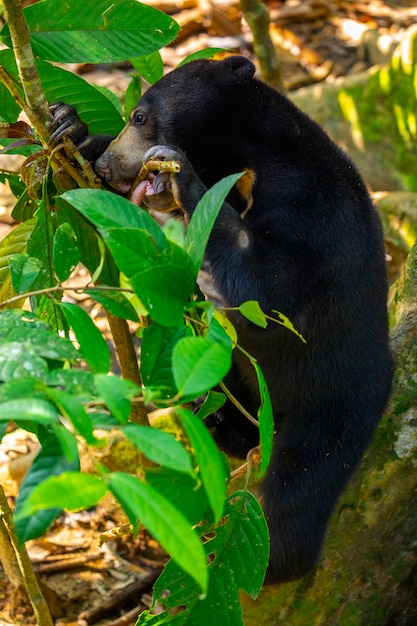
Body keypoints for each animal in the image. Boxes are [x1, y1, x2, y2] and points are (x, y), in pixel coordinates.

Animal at [50, 56, 392, 584]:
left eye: (141, 116)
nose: (110, 165)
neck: (250, 158)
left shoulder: (316, 210)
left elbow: (270, 291)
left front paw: (179, 174)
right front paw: (70, 129)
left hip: (334, 409)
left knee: (296, 493)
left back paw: (256, 562)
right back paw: (215, 423)